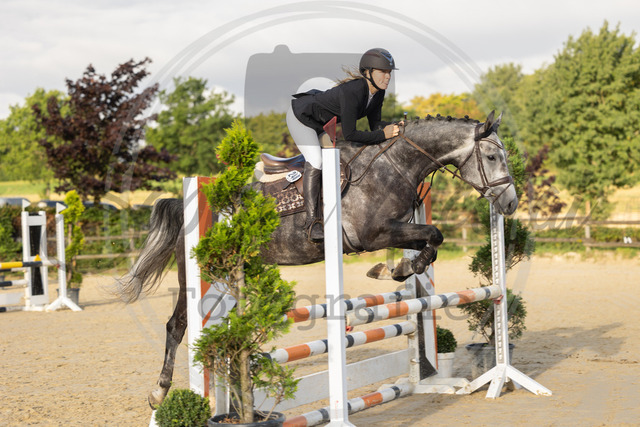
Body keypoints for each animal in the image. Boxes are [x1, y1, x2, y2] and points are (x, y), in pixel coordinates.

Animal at [116, 110, 517, 407]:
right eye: (492, 157)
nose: (510, 203)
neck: (394, 165)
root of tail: (190, 205)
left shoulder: (398, 227)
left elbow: (432, 240)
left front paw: (400, 268)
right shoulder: (373, 234)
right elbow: (432, 234)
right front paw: (394, 268)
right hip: (201, 272)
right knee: (178, 325)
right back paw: (160, 394)